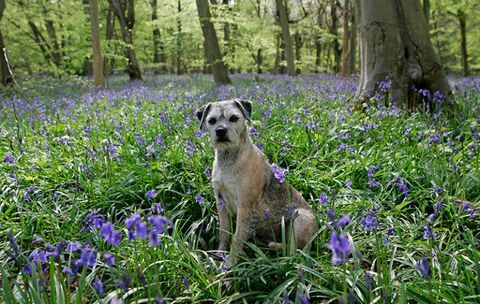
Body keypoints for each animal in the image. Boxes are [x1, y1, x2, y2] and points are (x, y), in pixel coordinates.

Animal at [197, 99, 316, 264]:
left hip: (300, 219)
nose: (220, 131)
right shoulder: (221, 202)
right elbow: (224, 233)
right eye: (212, 121)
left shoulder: (245, 206)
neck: (229, 159)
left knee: (293, 251)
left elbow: (237, 237)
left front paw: (230, 263)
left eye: (234, 118)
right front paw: (219, 253)